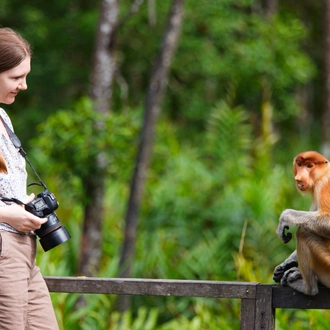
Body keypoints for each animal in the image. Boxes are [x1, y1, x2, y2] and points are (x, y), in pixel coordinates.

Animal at [274, 151, 330, 296]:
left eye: (309, 166)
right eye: (299, 165)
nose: (299, 177)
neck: (323, 174)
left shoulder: (324, 186)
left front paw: (284, 217)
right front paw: (284, 265)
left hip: (326, 265)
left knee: (303, 232)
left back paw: (308, 288)